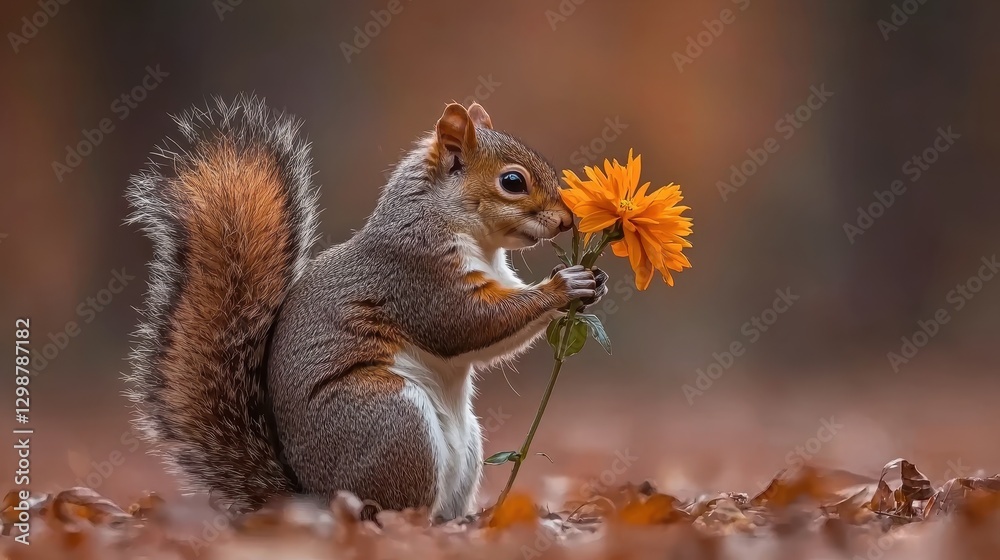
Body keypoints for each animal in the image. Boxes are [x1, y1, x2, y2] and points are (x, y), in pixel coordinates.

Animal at [125, 94, 609, 519]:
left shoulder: (496, 276)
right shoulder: (416, 276)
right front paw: (564, 285)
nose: (567, 220)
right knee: (390, 509)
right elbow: (467, 325)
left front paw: (592, 282)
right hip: (391, 419)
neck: (454, 223)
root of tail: (314, 500)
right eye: (512, 182)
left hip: (465, 443)